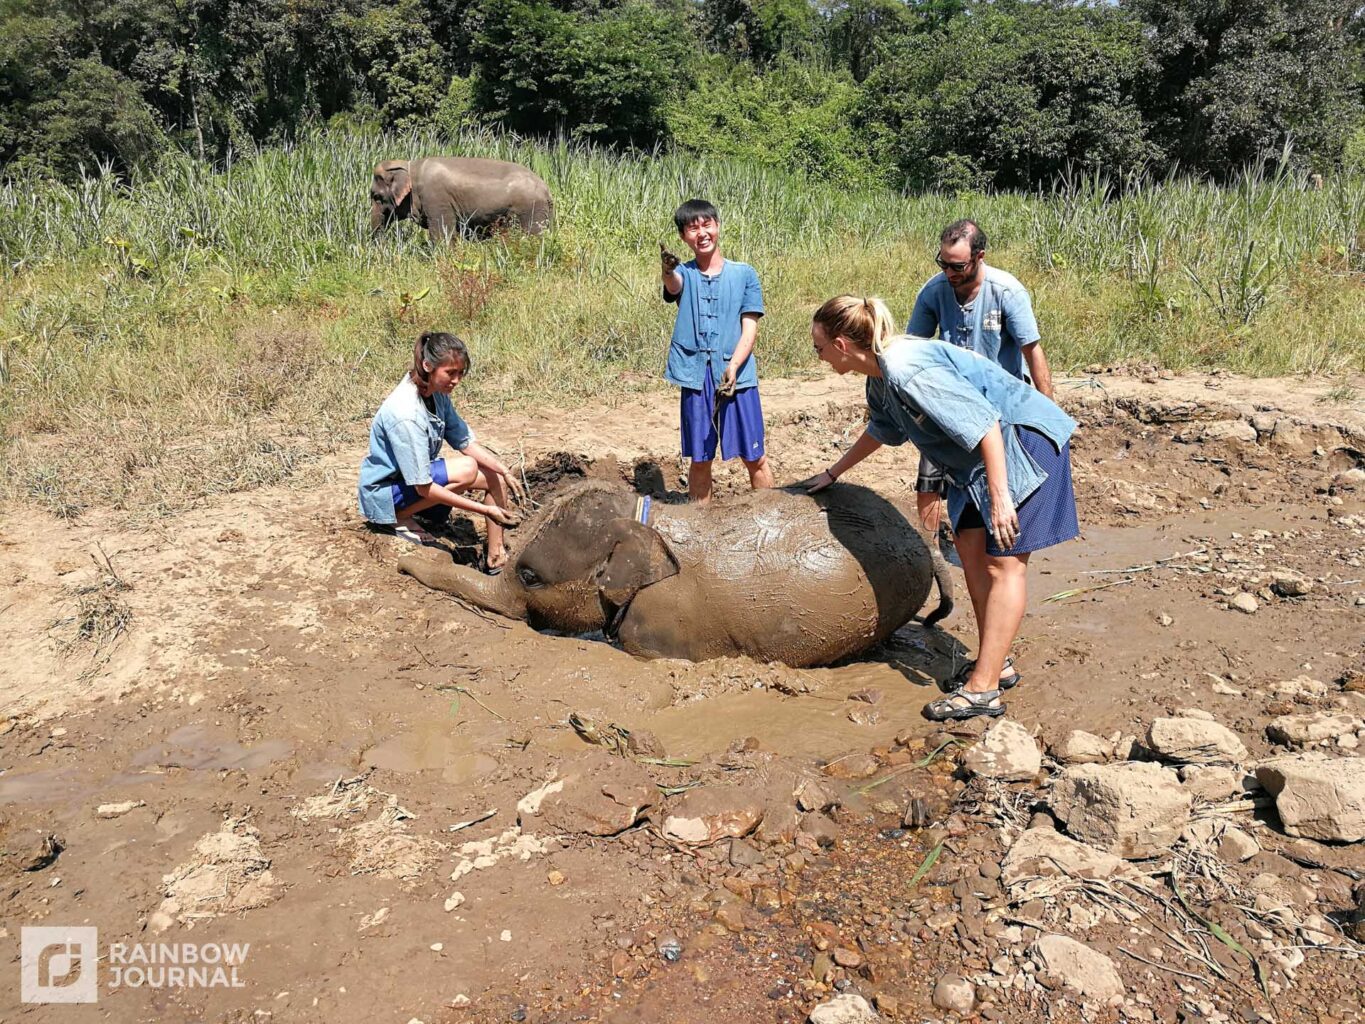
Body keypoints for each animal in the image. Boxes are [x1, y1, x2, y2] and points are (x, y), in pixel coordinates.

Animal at [370, 157, 553, 241]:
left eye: (376, 197)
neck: (410, 166)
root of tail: (547, 190)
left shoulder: (435, 198)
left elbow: (441, 233)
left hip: (531, 210)